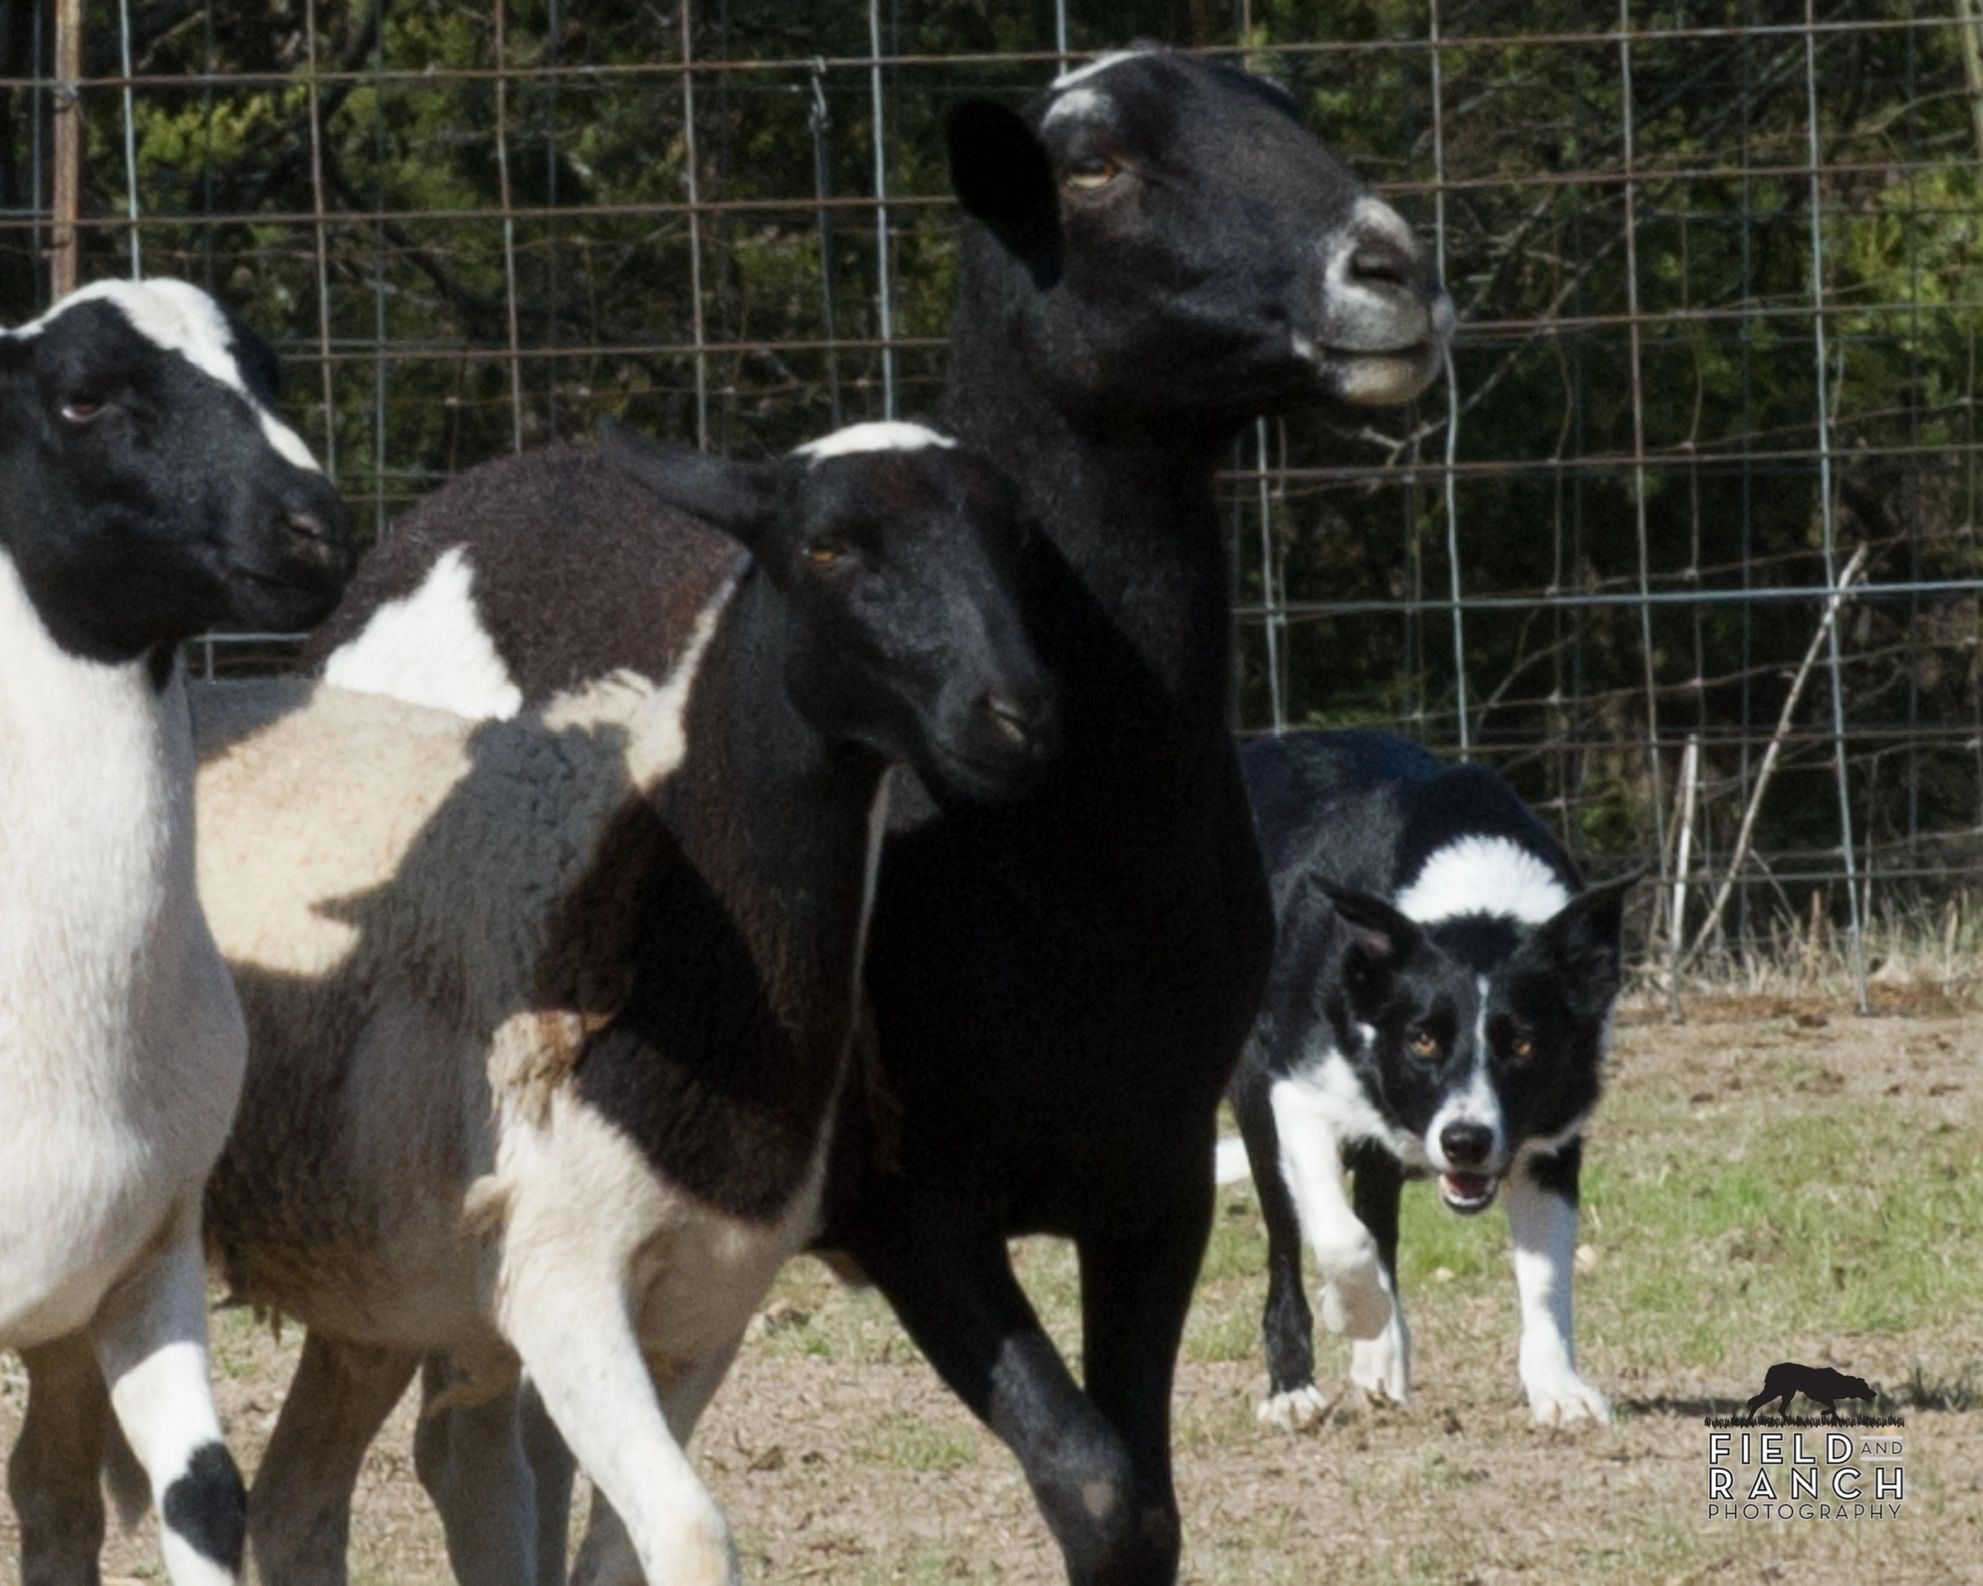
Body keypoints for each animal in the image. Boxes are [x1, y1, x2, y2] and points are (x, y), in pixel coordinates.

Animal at [0, 281, 352, 1586]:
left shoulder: (151, 1252)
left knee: (49, 1491)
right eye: (82, 396)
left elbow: (206, 1490)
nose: (316, 532)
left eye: (270, 368)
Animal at [309, 49, 1459, 1586]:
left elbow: (1148, 1505)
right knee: (462, 1440)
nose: (1386, 267)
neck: (1070, 865)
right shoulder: (905, 1196)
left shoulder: (1150, 1178)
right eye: (1092, 164)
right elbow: (1097, 1486)